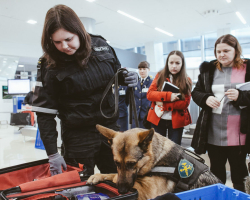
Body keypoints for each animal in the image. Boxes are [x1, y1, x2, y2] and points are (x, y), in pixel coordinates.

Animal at [87, 126, 221, 199]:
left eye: (132, 164)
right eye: (117, 163)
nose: (121, 191)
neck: (155, 159)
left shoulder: (149, 191)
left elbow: (116, 176)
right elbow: (114, 174)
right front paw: (98, 176)